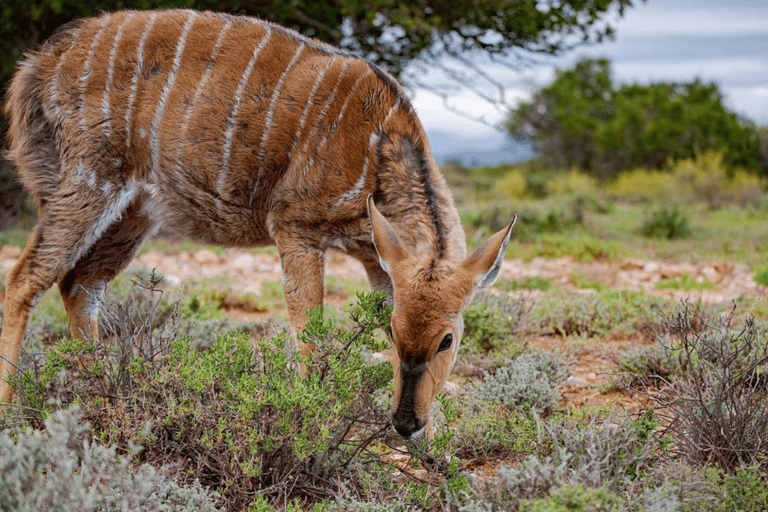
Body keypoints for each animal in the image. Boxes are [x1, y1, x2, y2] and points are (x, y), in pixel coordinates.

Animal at [1, 8, 516, 436]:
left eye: (447, 340)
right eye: (393, 331)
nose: (407, 423)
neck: (379, 147)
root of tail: (39, 64)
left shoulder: (378, 258)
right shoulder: (295, 227)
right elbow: (310, 330)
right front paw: (314, 421)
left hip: (133, 214)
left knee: (78, 286)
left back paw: (102, 397)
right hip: (85, 185)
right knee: (25, 279)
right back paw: (11, 411)